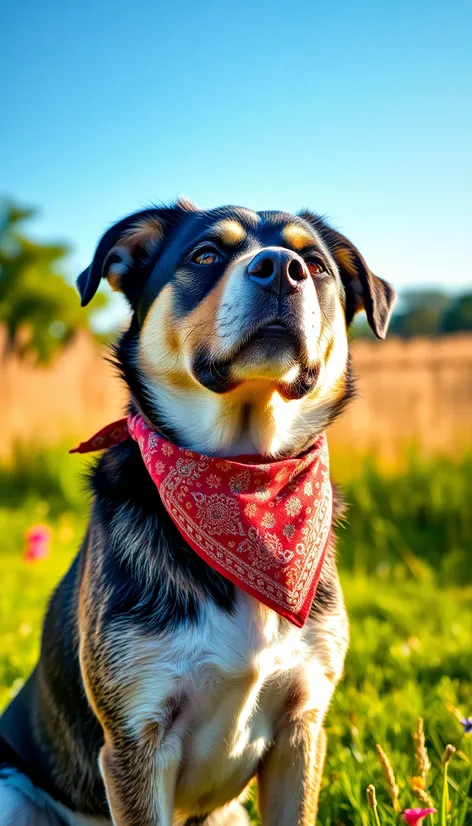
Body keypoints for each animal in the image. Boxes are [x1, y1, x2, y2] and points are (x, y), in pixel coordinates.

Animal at [0, 201, 394, 824]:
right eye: (205, 255)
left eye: (313, 263)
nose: (281, 270)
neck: (244, 478)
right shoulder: (135, 743)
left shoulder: (302, 728)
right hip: (12, 789)